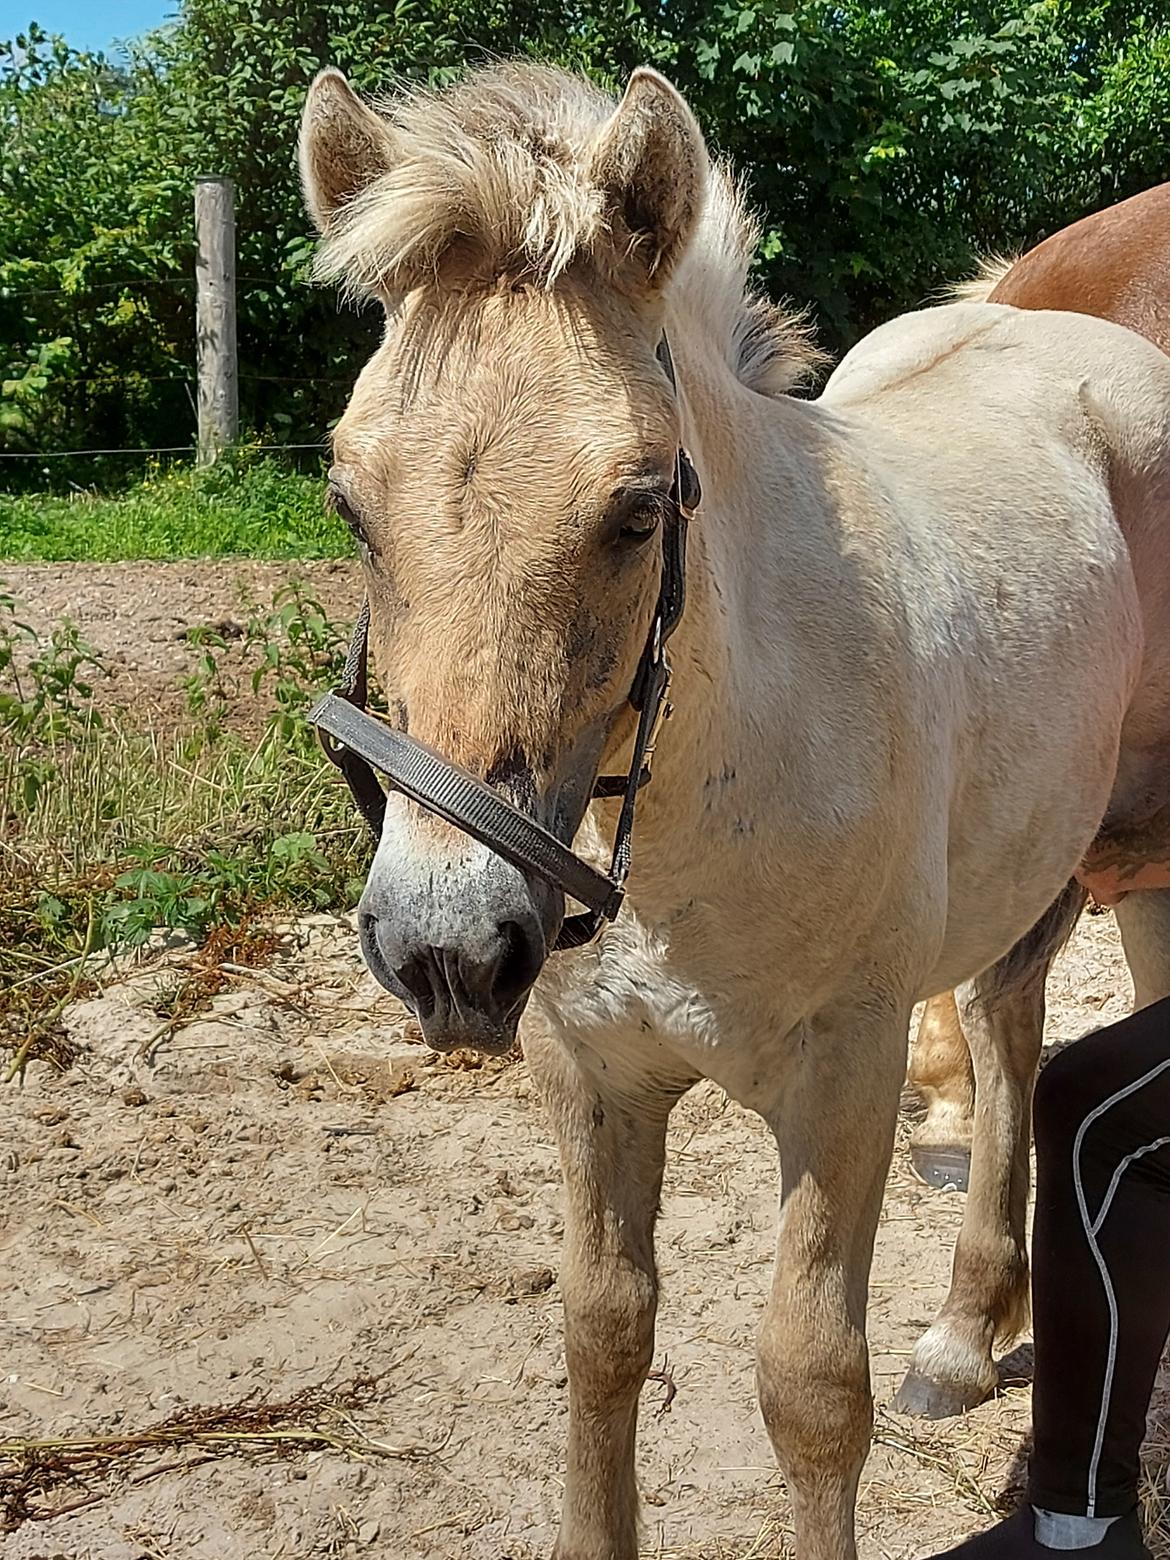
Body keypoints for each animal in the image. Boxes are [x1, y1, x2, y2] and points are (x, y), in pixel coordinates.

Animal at [299, 60, 1170, 1560]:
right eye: (351, 503)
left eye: (638, 509)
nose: (445, 952)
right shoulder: (589, 1077)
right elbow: (600, 1339)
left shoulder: (842, 1080)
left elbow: (811, 1391)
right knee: (1008, 1030)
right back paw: (963, 1332)